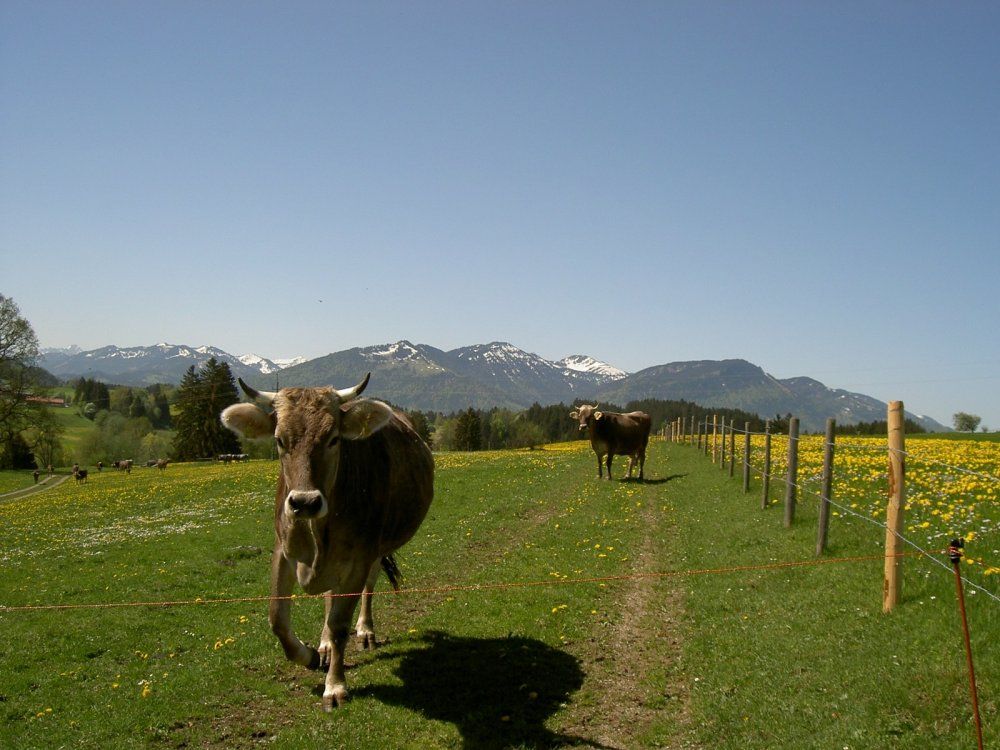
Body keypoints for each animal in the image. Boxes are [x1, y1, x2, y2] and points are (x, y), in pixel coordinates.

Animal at [220, 373, 434, 711]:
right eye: (280, 440)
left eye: (333, 439)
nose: (304, 502)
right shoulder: (282, 550)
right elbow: (277, 620)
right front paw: (309, 655)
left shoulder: (358, 559)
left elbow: (340, 626)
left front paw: (335, 685)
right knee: (328, 599)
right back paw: (321, 646)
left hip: (376, 551)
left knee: (368, 588)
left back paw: (365, 631)